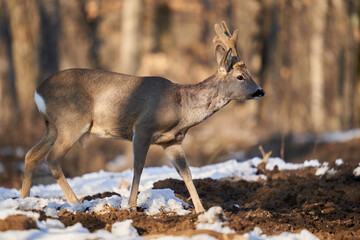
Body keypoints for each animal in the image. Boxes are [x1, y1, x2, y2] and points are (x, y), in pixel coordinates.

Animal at [21, 22, 264, 214]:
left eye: (249, 74)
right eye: (240, 77)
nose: (260, 91)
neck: (182, 109)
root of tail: (37, 91)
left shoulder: (172, 141)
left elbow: (186, 172)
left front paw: (200, 210)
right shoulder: (143, 128)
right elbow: (138, 166)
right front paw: (131, 206)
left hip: (53, 126)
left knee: (31, 154)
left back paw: (24, 201)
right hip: (72, 121)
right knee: (52, 158)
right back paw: (76, 203)